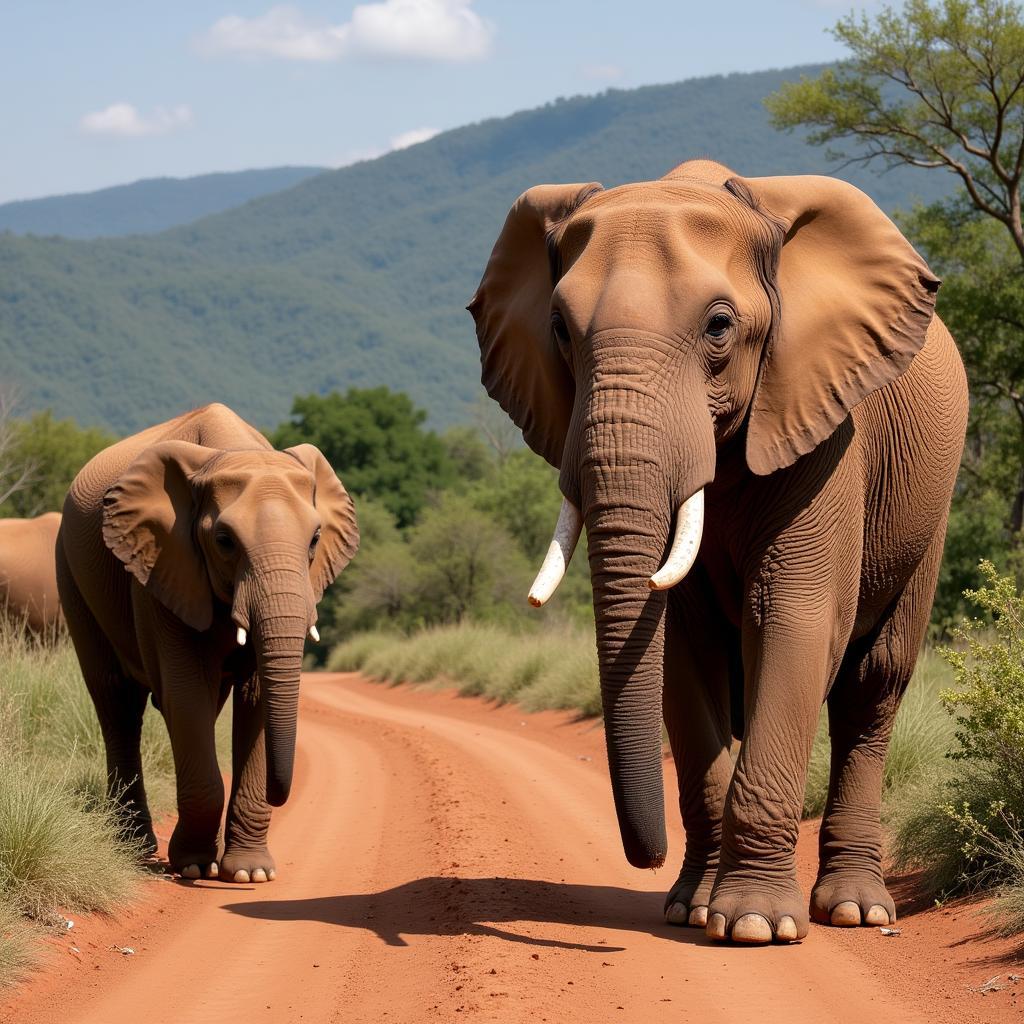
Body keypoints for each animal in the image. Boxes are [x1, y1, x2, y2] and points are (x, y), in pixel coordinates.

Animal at [58, 403, 360, 884]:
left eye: (315, 540)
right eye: (224, 542)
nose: (282, 793)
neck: (232, 451)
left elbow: (255, 698)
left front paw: (250, 873)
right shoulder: (160, 564)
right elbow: (185, 694)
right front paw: (195, 867)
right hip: (70, 572)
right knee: (116, 701)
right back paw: (136, 847)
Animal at [471, 157, 966, 942]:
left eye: (719, 327)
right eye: (558, 329)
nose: (644, 856)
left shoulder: (826, 427)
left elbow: (795, 619)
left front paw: (756, 925)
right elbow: (683, 645)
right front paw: (691, 909)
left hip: (930, 508)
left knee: (873, 683)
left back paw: (854, 910)